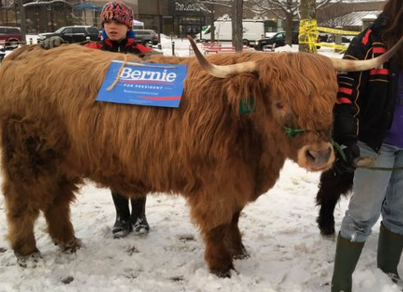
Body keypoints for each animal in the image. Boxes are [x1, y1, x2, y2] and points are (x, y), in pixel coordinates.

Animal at [0, 37, 400, 278]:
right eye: (280, 102)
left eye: (330, 100)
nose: (319, 155)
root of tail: (22, 56)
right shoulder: (215, 184)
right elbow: (218, 223)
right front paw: (222, 265)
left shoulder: (237, 181)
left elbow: (234, 219)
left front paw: (239, 251)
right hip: (26, 160)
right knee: (23, 205)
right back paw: (28, 253)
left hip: (60, 164)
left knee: (56, 202)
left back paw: (68, 243)